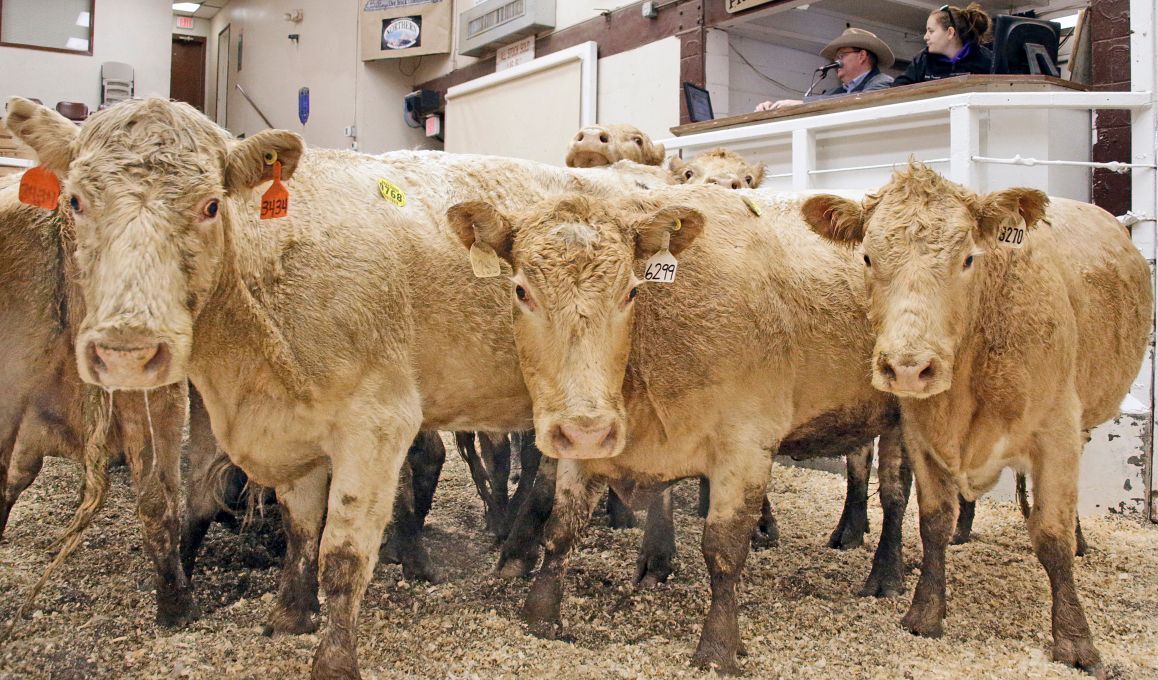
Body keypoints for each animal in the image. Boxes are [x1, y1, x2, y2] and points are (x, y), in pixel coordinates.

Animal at [447, 185, 905, 673]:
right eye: (521, 290)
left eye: (631, 291)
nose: (587, 431)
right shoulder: (586, 434)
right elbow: (561, 528)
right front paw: (540, 616)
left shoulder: (745, 445)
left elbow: (723, 551)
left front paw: (719, 648)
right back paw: (851, 533)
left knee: (896, 495)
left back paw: (887, 576)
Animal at [799, 164, 1151, 678]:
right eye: (866, 257)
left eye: (968, 259)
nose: (908, 367)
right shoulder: (921, 433)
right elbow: (932, 521)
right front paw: (925, 613)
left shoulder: (1057, 433)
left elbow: (1051, 533)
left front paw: (1074, 641)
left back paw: (1081, 541)